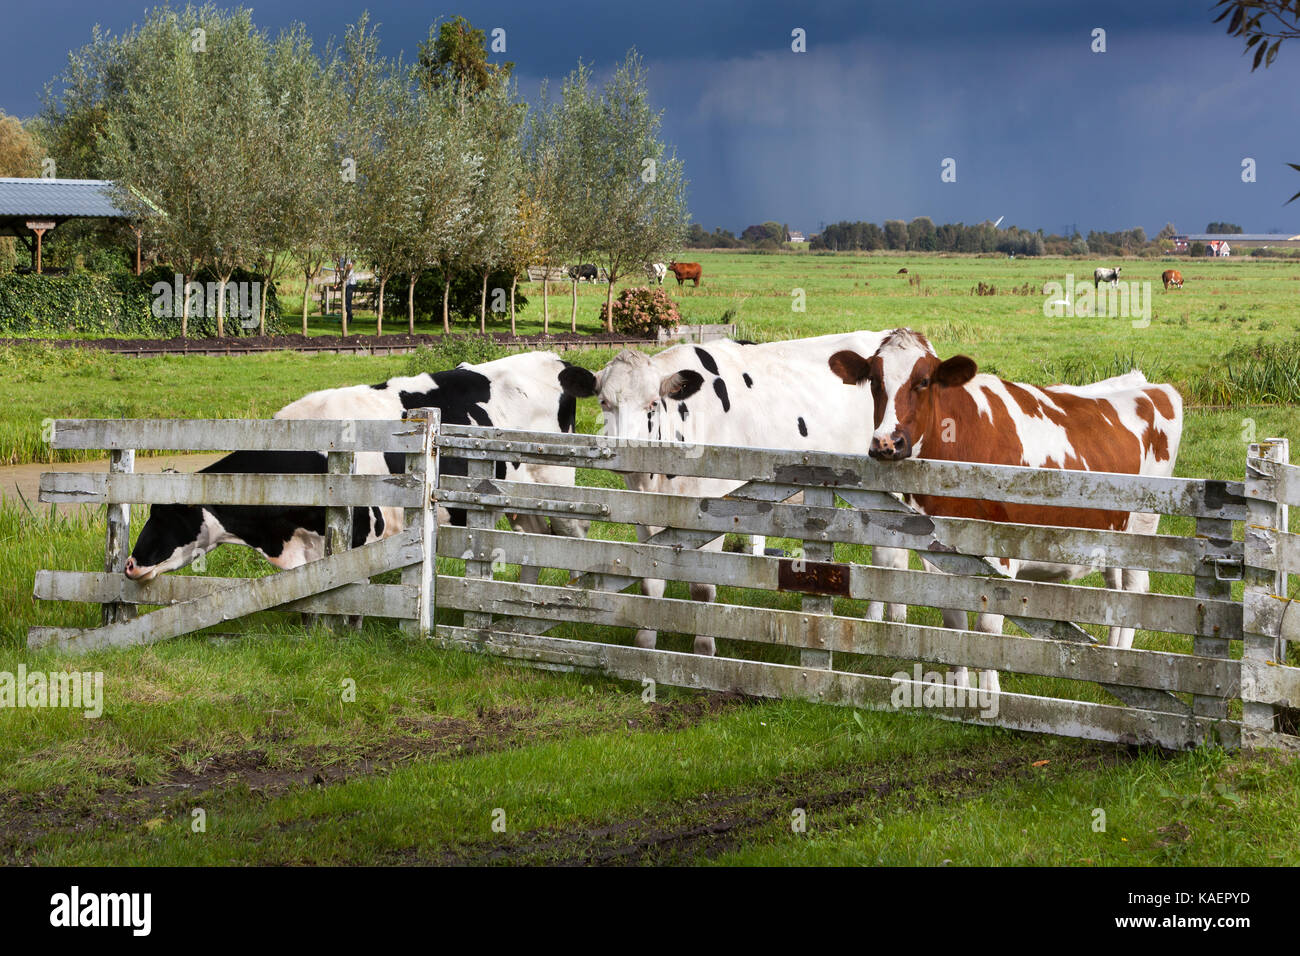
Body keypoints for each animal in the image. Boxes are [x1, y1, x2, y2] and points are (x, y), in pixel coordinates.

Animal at [122, 353, 598, 582]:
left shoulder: (362, 528)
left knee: (575, 540)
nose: (128, 565)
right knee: (534, 544)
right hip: (519, 502)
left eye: (166, 517)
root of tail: (557, 361)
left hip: (559, 488)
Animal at [587, 332, 904, 655]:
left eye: (652, 403)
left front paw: (704, 649)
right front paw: (644, 647)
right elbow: (649, 583)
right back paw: (894, 620)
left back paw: (880, 620)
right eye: (604, 402)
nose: (625, 449)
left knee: (887, 552)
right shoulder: (644, 512)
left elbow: (702, 588)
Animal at [826, 327, 1185, 686]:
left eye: (924, 381)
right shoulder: (940, 555)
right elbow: (954, 621)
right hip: (1113, 532)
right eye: (874, 380)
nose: (887, 443)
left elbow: (988, 630)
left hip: (1142, 528)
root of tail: (1149, 384)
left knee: (1134, 589)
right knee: (1116, 592)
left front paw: (988, 692)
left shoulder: (1002, 552)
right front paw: (960, 686)